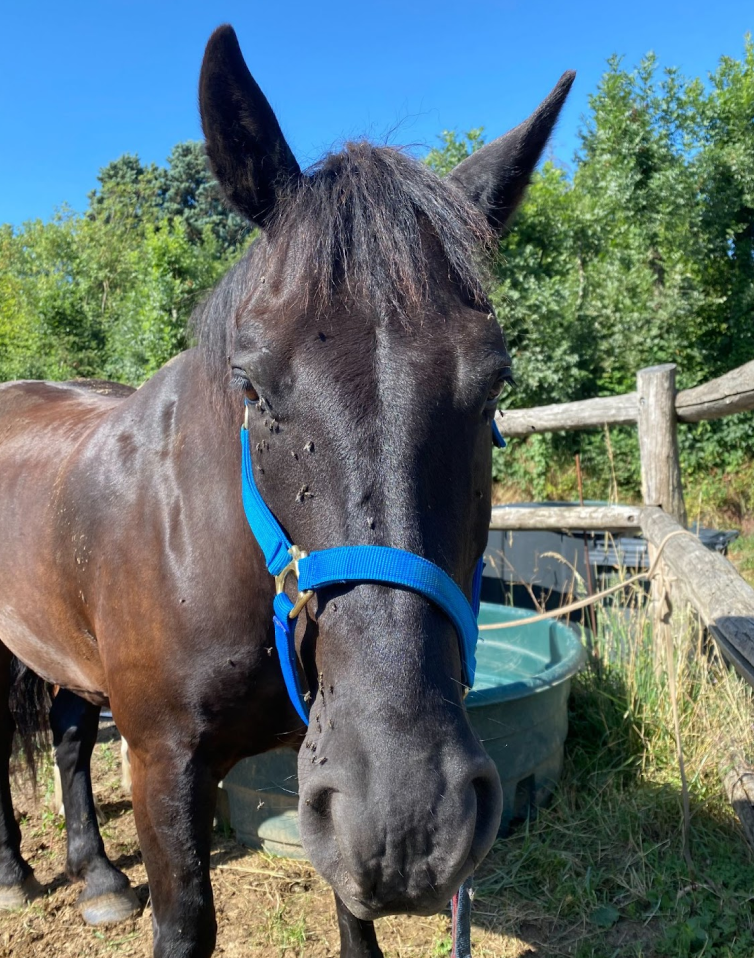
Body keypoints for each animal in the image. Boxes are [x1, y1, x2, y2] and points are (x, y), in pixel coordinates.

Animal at [0, 25, 573, 958]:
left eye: (494, 383)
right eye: (253, 385)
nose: (412, 823)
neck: (203, 545)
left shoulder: (328, 770)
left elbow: (354, 917)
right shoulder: (163, 765)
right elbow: (185, 924)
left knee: (70, 737)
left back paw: (98, 880)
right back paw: (15, 873)